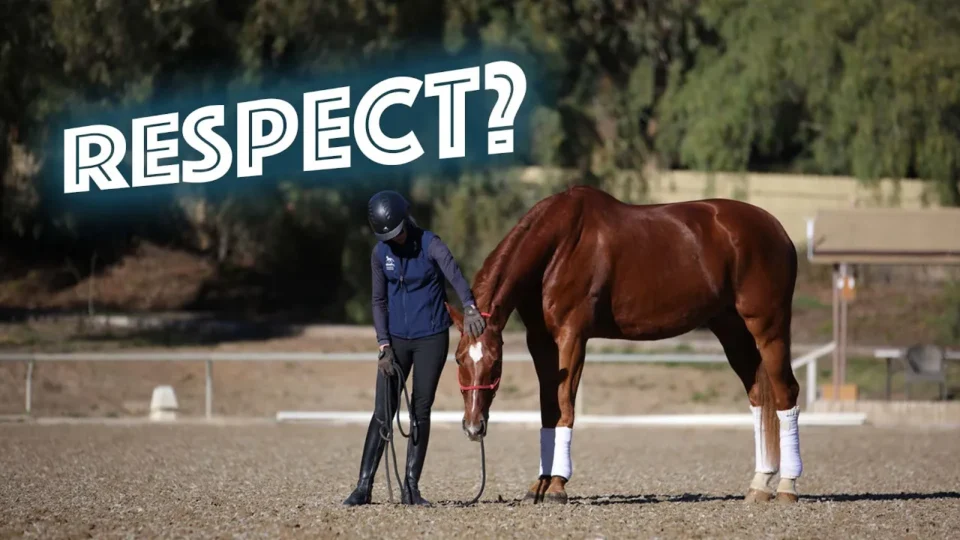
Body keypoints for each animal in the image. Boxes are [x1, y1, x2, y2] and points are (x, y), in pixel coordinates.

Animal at [445, 184, 802, 505]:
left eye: (496, 362)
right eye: (460, 359)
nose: (473, 426)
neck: (558, 246)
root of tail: (777, 229)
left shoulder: (572, 336)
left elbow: (565, 407)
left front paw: (557, 486)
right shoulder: (540, 341)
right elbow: (548, 408)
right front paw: (539, 485)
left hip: (768, 326)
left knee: (785, 393)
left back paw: (787, 487)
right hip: (731, 329)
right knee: (759, 396)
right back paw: (759, 485)